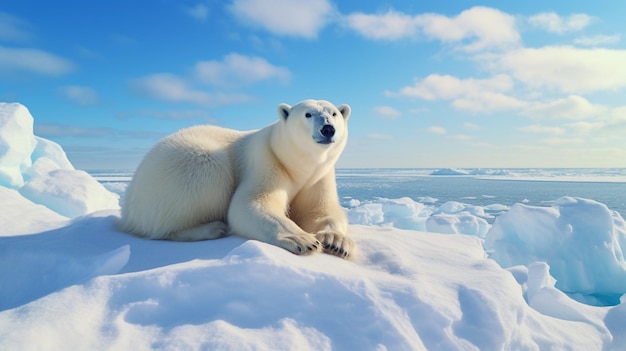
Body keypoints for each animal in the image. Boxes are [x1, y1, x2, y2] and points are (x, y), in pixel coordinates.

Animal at [117, 99, 352, 258]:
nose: (328, 129)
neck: (295, 165)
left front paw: (337, 241)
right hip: (183, 171)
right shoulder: (266, 161)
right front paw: (303, 239)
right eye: (308, 114)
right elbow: (248, 205)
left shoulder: (319, 176)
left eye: (334, 113)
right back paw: (212, 228)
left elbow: (321, 210)